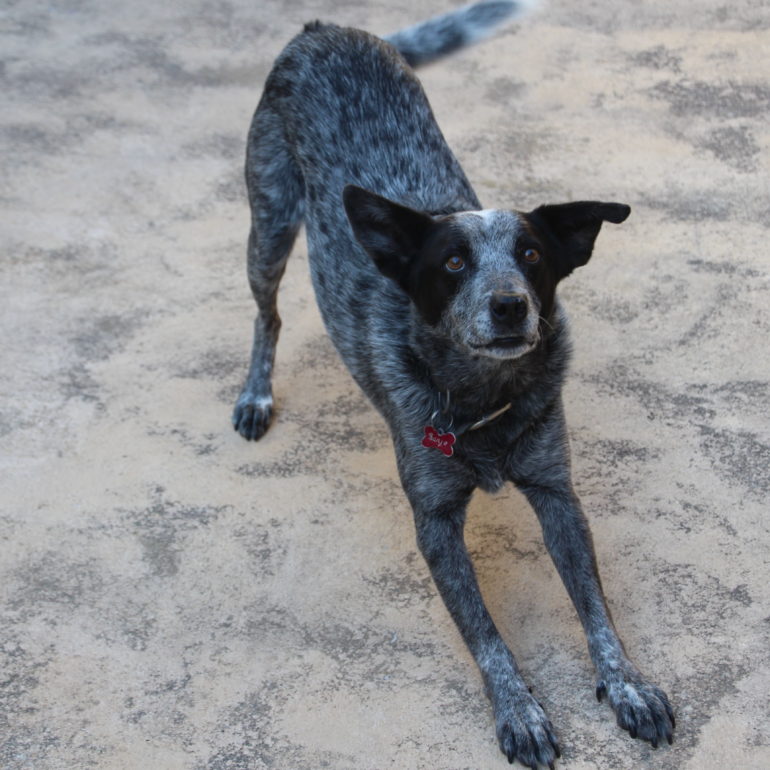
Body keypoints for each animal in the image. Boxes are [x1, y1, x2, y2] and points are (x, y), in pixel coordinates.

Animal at [230, 3, 672, 764]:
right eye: (453, 263)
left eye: (532, 254)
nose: (510, 305)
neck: (481, 404)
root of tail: (322, 30)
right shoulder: (435, 523)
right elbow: (484, 633)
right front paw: (520, 711)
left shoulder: (557, 494)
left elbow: (595, 608)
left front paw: (628, 686)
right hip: (271, 224)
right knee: (268, 313)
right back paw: (256, 393)